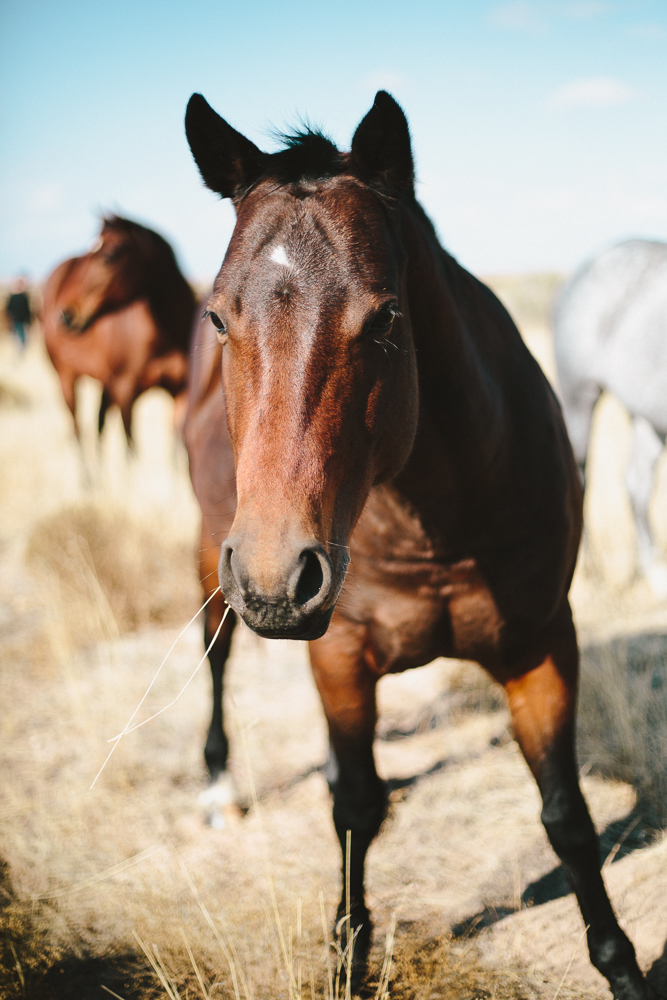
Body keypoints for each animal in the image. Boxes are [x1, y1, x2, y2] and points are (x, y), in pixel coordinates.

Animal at [42, 215, 196, 445]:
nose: (65, 316)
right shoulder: (125, 393)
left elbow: (177, 445)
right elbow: (131, 446)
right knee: (79, 432)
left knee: (99, 428)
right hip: (66, 379)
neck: (164, 337)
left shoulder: (181, 393)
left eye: (109, 256)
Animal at [183, 91, 651, 998]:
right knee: (216, 653)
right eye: (218, 316)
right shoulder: (338, 657)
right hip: (212, 554)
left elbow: (566, 818)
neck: (429, 519)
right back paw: (218, 787)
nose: (276, 577)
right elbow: (355, 811)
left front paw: (621, 967)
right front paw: (348, 953)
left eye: (386, 316)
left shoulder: (542, 645)